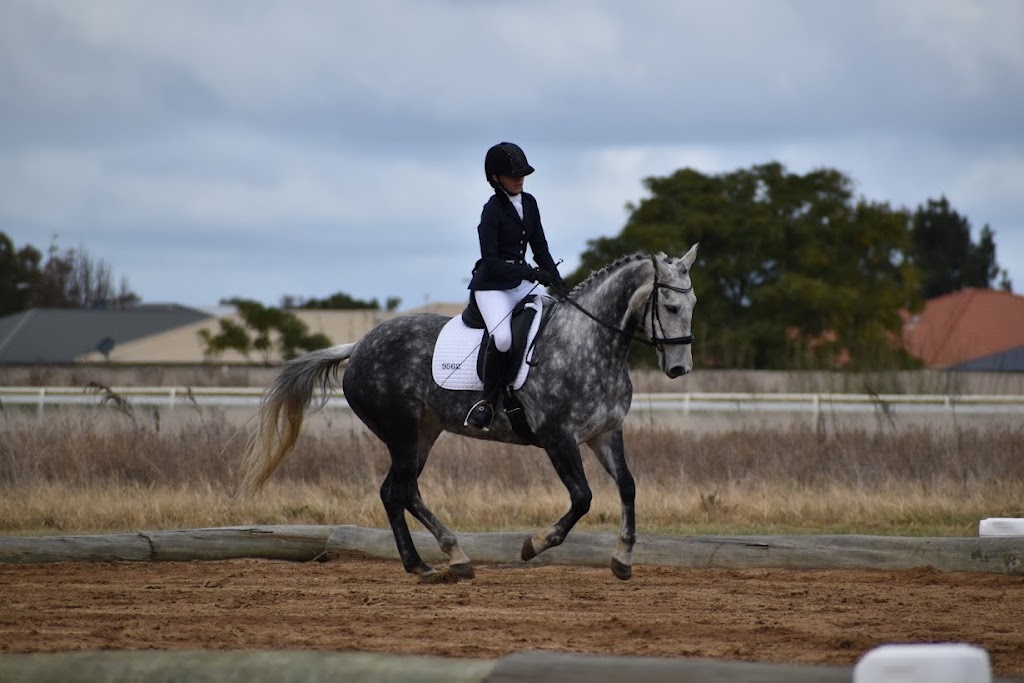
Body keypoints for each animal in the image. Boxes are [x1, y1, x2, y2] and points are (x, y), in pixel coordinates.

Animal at [243, 245, 700, 581]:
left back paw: (421, 565)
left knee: (393, 491)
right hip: (403, 433)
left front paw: (622, 560)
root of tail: (359, 346)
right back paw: (454, 557)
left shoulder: (605, 433)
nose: (680, 369)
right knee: (404, 490)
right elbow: (583, 498)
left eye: (692, 303)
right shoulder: (558, 437)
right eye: (671, 308)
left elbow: (628, 486)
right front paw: (532, 545)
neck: (590, 344)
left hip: (423, 434)